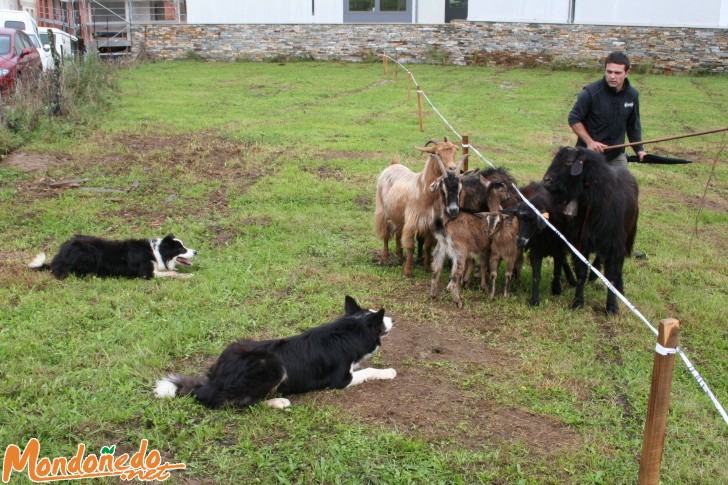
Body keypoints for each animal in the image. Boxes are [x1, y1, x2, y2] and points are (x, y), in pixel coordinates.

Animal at [540, 147, 636, 314]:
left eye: (569, 162)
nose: (547, 180)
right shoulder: (580, 242)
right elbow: (581, 273)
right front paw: (578, 301)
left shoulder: (613, 244)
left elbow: (611, 275)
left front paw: (612, 307)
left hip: (625, 238)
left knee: (619, 265)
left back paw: (620, 289)